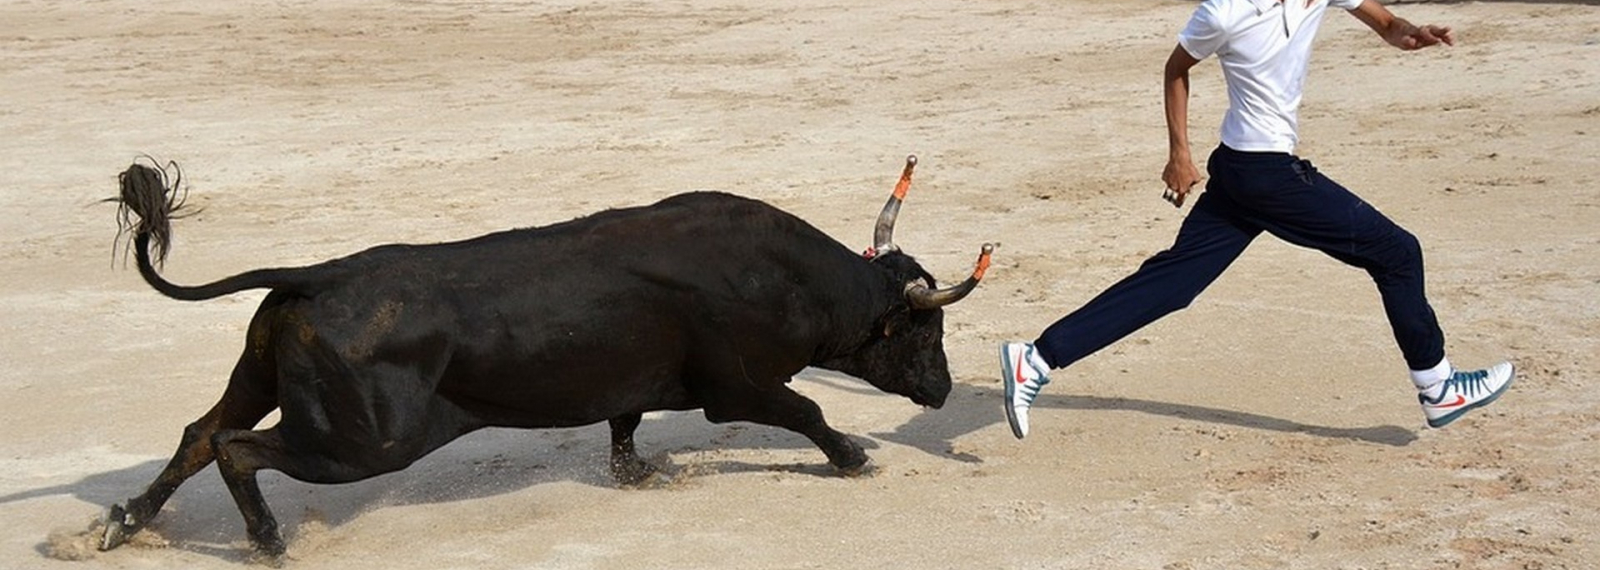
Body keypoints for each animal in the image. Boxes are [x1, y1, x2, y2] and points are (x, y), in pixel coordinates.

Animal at [96, 156, 985, 557]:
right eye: (924, 333)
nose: (944, 391)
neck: (788, 276)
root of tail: (320, 275)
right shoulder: (738, 386)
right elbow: (807, 408)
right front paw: (854, 457)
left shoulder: (637, 376)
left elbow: (625, 420)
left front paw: (637, 473)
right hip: (363, 442)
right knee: (236, 447)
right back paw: (271, 542)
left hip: (261, 379)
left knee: (201, 433)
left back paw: (126, 523)